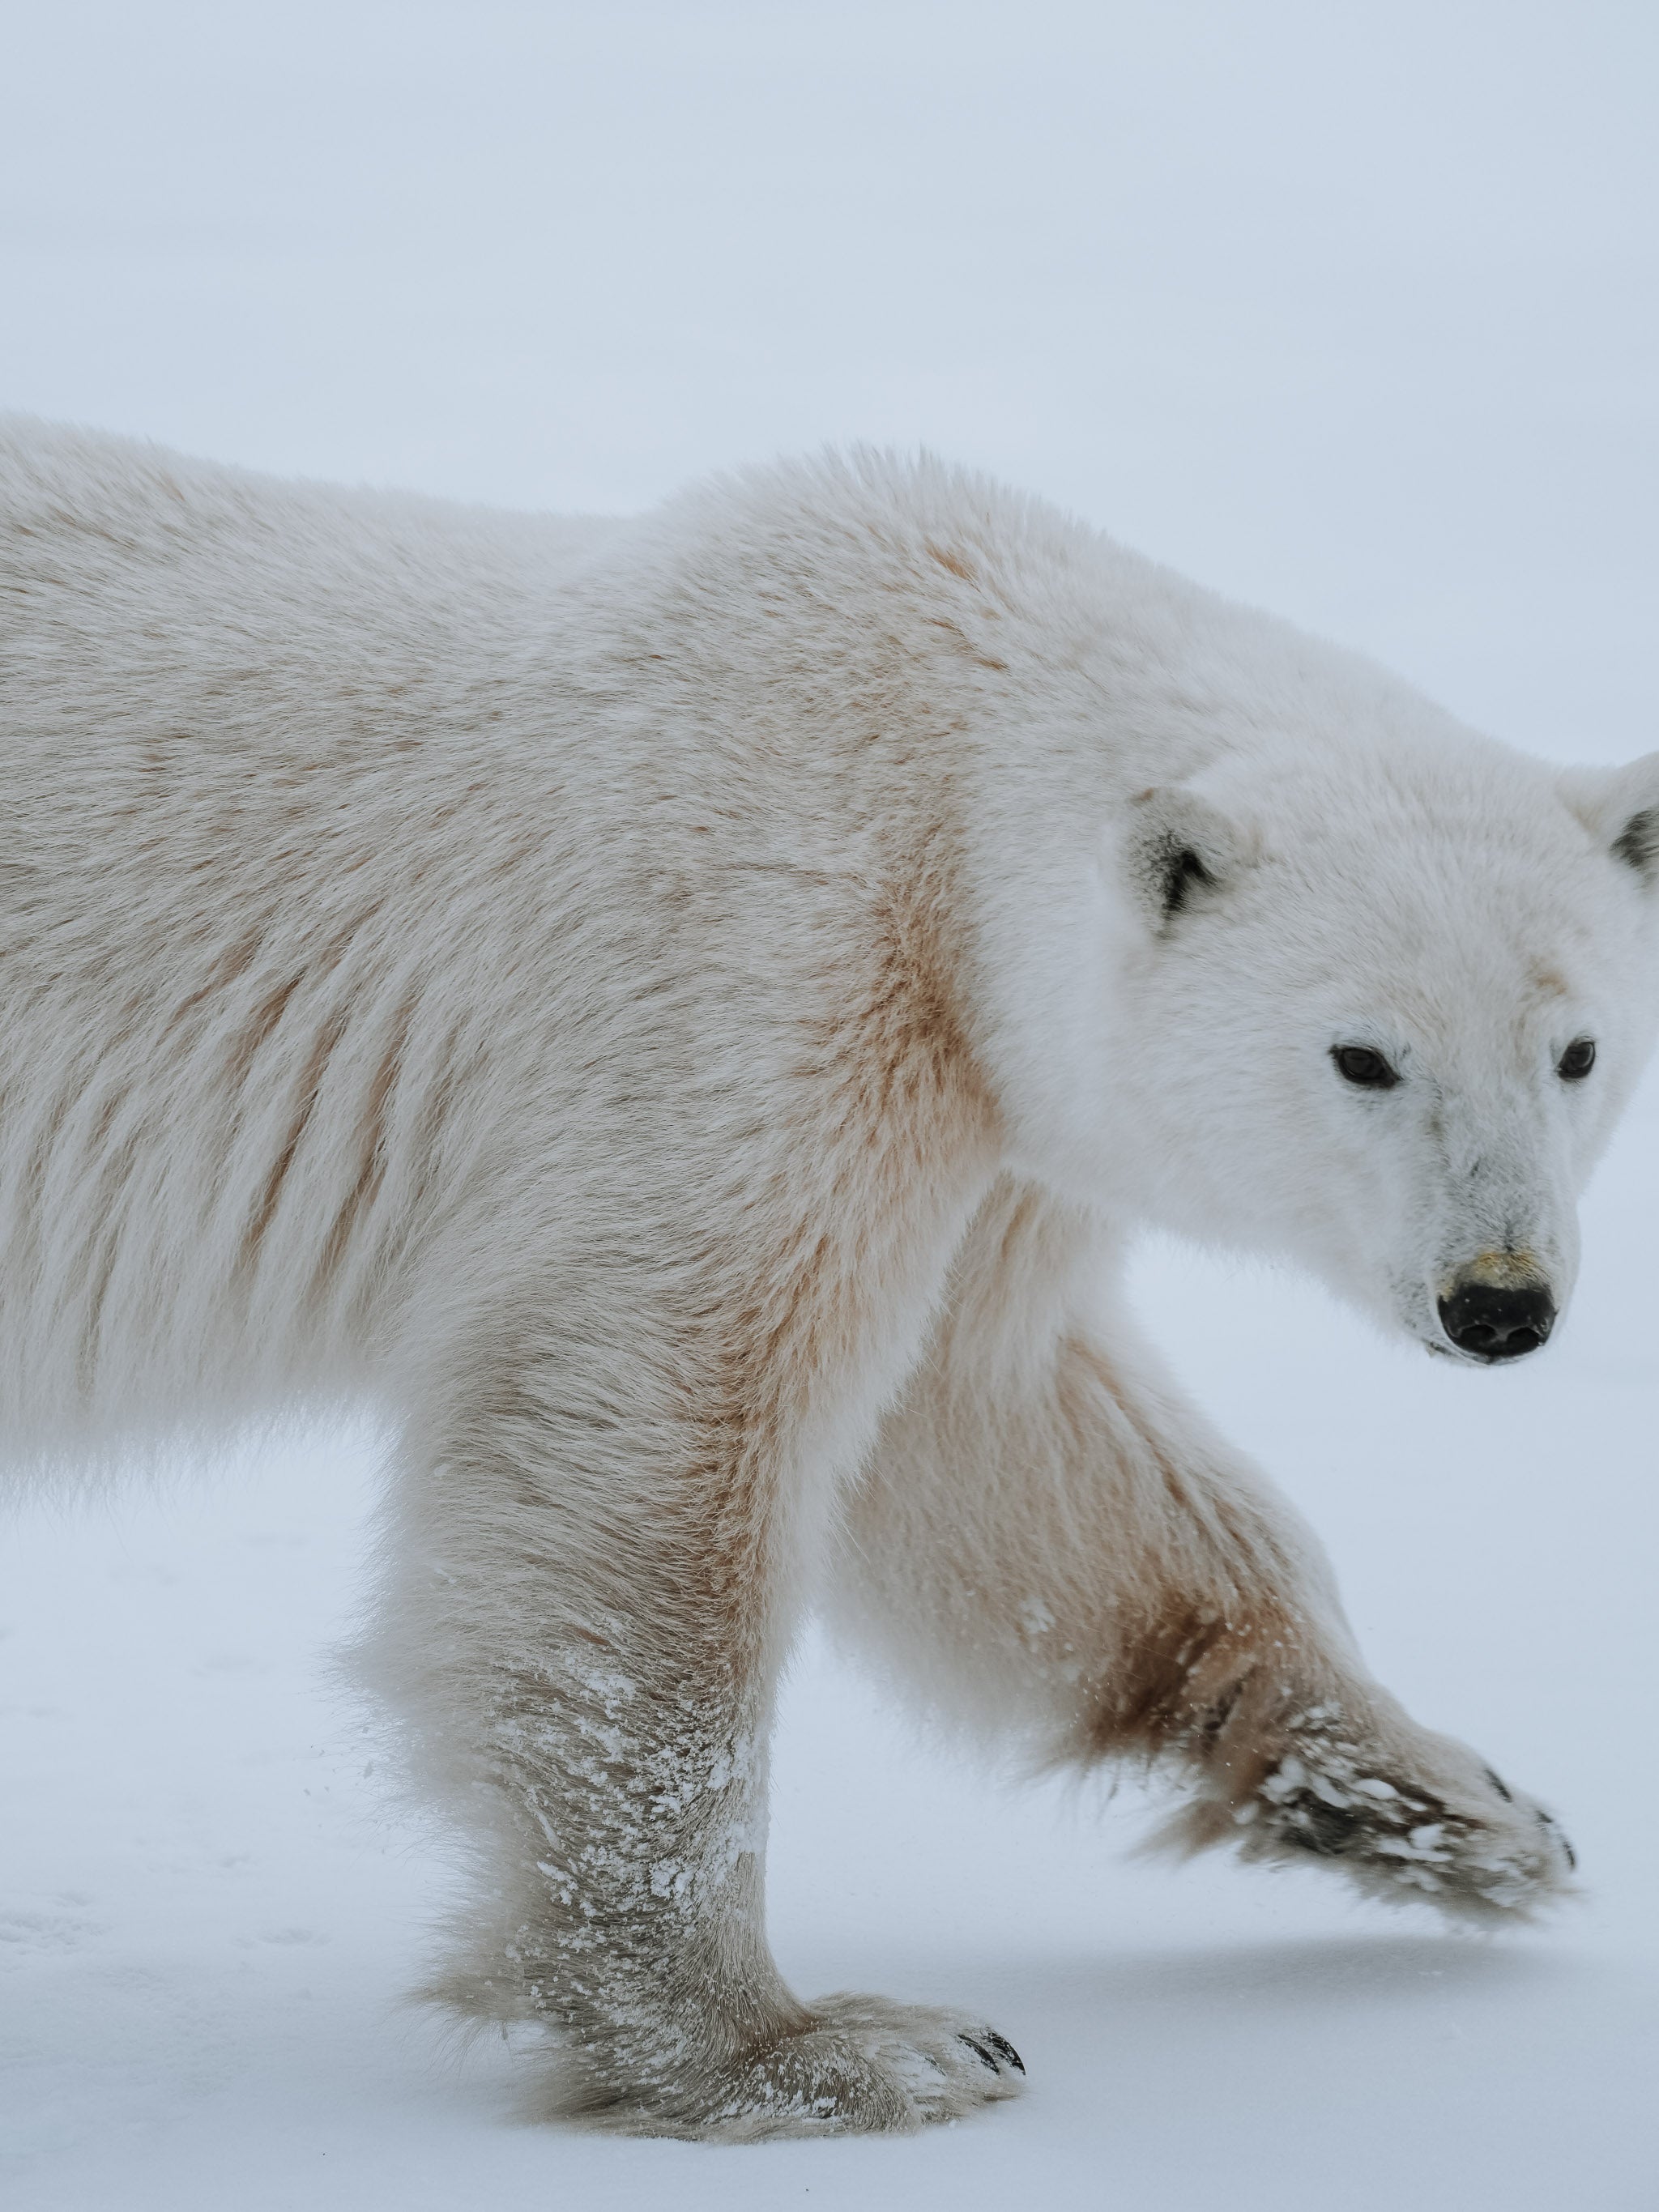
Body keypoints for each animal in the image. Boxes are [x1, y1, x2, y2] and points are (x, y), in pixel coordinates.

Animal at [2, 417, 1657, 2141]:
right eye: (1361, 1055)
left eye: (1575, 1048)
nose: (1499, 1302)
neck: (934, 756)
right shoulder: (753, 968)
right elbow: (653, 1442)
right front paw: (823, 2046)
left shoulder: (974, 1112)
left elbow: (997, 1438)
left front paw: (1457, 1806)